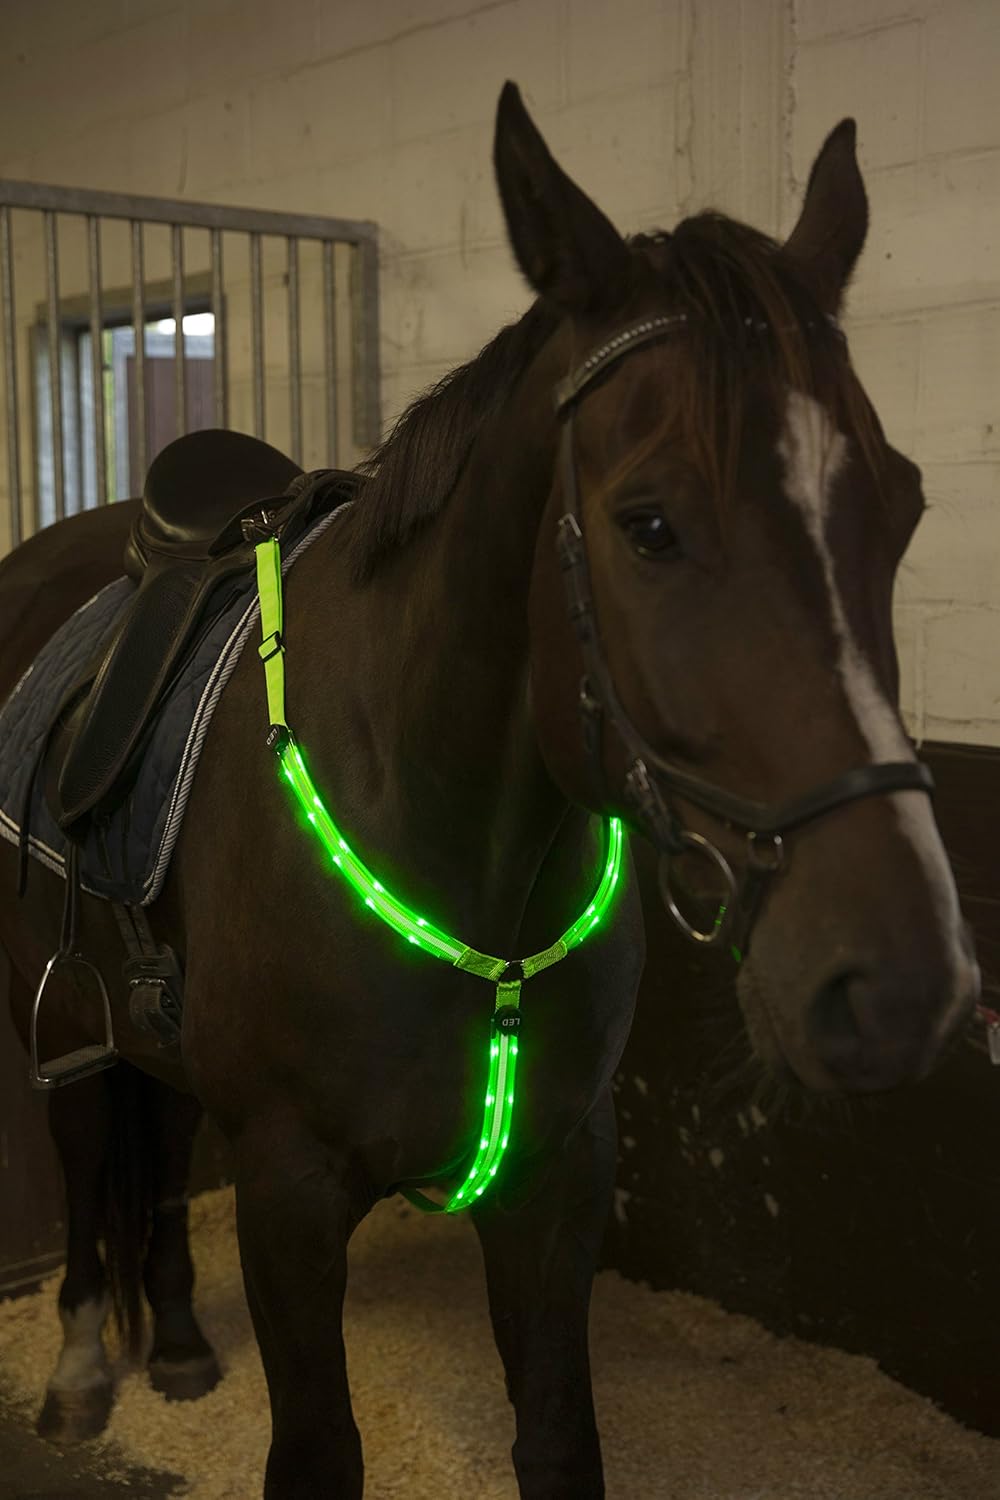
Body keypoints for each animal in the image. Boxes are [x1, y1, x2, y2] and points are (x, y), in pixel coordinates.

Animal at [0, 82, 978, 1499]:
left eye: (898, 507)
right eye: (646, 523)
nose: (901, 984)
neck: (453, 841)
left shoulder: (556, 1179)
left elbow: (559, 1439)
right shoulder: (290, 1191)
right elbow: (318, 1452)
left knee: (162, 1137)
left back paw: (177, 1344)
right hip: (56, 1000)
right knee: (86, 1153)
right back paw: (82, 1372)